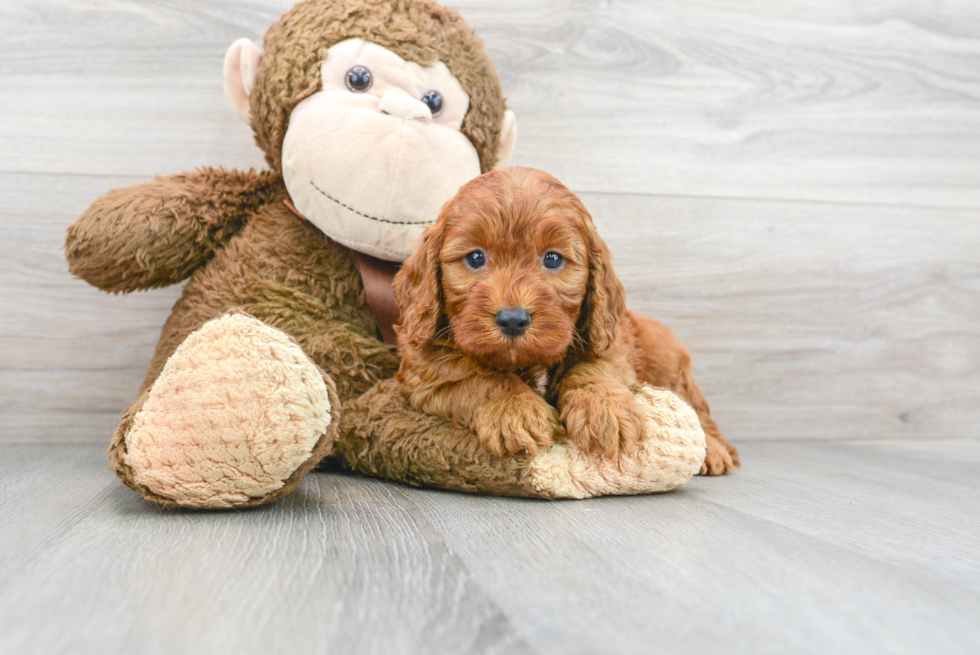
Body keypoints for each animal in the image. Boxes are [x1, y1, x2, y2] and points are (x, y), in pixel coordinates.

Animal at [394, 167, 740, 474]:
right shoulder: (426, 370)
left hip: (666, 360)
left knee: (698, 411)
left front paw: (605, 409)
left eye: (552, 259)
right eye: (475, 257)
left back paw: (714, 451)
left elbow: (592, 368)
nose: (512, 320)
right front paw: (515, 410)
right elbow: (479, 377)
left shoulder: (612, 344)